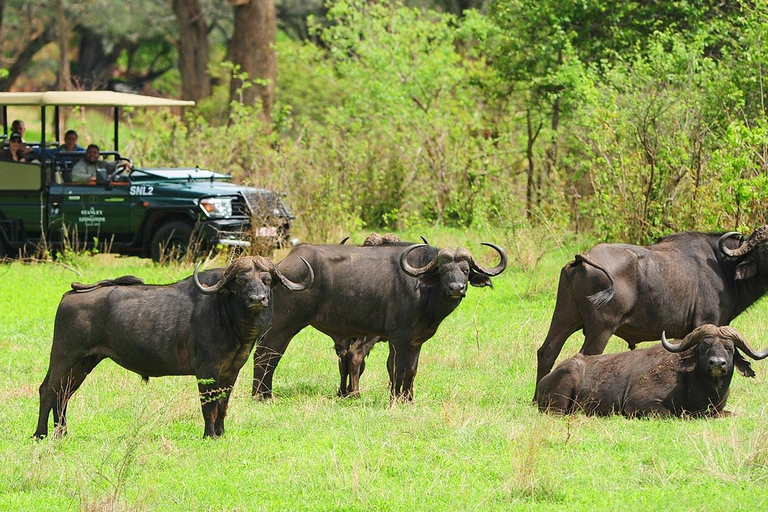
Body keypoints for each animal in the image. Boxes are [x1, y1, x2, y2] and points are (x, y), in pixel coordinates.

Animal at [33, 256, 312, 440]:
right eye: (241, 281)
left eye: (266, 280)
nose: (257, 299)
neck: (229, 316)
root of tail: (70, 295)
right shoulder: (206, 371)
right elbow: (208, 406)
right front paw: (209, 435)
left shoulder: (231, 372)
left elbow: (222, 404)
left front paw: (221, 434)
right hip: (63, 357)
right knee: (47, 390)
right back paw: (40, 434)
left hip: (84, 363)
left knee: (63, 394)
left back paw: (62, 433)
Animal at [249, 240, 508, 400]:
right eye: (443, 270)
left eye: (465, 270)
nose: (456, 288)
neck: (423, 290)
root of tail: (277, 270)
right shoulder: (398, 338)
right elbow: (397, 369)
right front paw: (395, 399)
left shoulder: (416, 340)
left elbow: (411, 370)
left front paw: (409, 399)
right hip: (283, 325)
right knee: (267, 356)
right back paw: (262, 396)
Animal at [536, 227, 768, 400]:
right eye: (765, 246)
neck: (723, 268)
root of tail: (583, 258)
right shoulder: (705, 324)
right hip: (600, 330)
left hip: (564, 317)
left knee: (547, 352)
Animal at [536, 326, 764, 418]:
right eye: (704, 346)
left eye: (729, 348)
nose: (717, 363)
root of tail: (543, 382)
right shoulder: (638, 404)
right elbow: (674, 414)